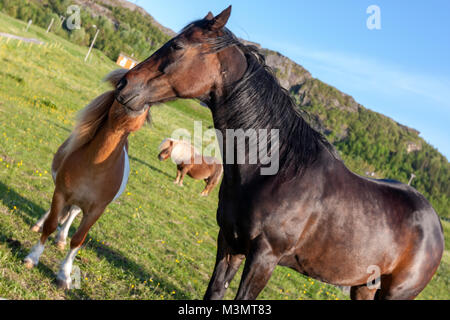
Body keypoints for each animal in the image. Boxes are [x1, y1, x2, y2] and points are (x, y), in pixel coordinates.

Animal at [24, 69, 150, 288]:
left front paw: (64, 275)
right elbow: (50, 224)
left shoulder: (96, 210)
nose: (135, 99)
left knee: (73, 213)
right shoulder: (61, 193)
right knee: (55, 214)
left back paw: (61, 238)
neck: (95, 166)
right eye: (120, 86)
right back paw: (39, 225)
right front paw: (33, 257)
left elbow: (78, 240)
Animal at [114, 5, 444, 300]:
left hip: (395, 293)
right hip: (364, 286)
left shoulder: (264, 258)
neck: (273, 170)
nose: (124, 83)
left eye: (178, 46)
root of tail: (435, 226)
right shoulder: (230, 244)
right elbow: (215, 293)